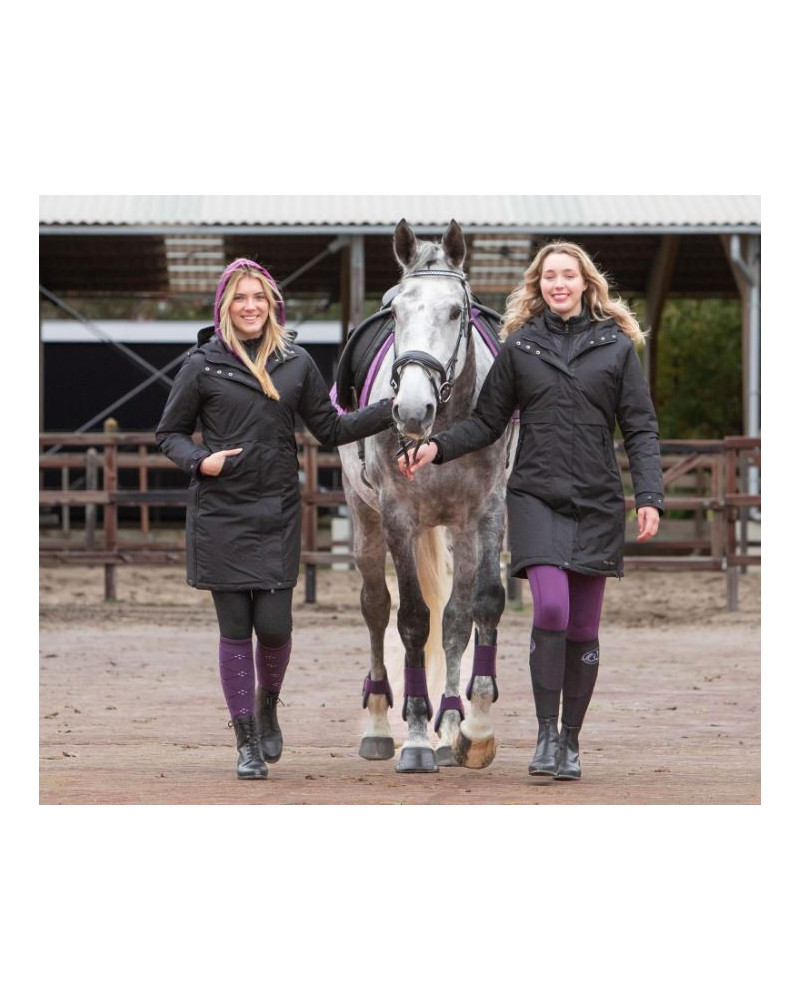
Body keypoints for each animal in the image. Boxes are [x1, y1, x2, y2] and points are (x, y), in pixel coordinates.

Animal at [338, 219, 516, 773]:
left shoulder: (486, 513)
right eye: (396, 311)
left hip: (457, 532)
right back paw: (378, 727)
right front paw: (415, 737)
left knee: (454, 618)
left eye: (456, 311)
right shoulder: (398, 517)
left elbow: (479, 608)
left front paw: (472, 730)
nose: (412, 410)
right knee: (376, 608)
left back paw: (450, 727)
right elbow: (413, 620)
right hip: (366, 522)